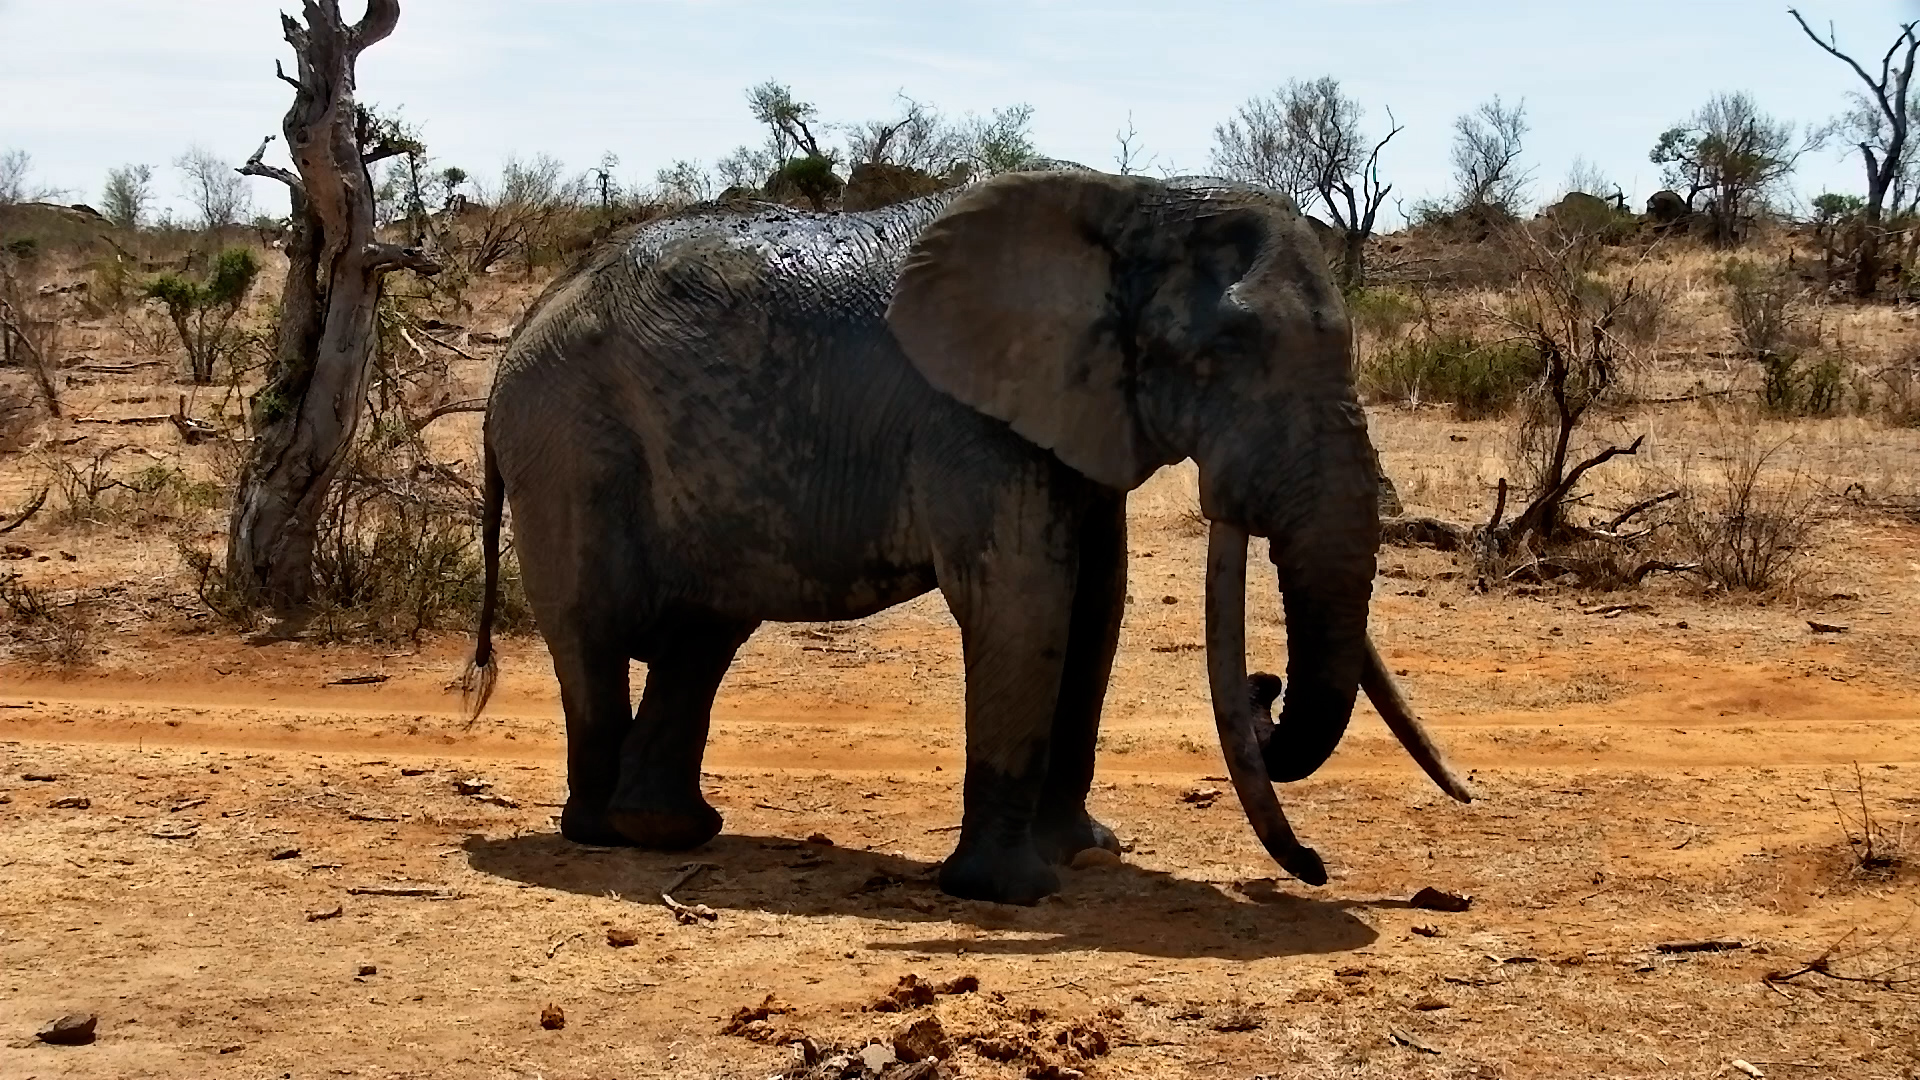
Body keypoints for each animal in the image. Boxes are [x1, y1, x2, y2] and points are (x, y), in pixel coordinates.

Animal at [466, 169, 1471, 905]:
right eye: (1219, 357)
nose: (1314, 872)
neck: (1135, 202)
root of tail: (520, 331)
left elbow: (1097, 604)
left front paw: (1087, 856)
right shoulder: (969, 419)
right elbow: (1026, 601)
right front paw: (1010, 894)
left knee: (702, 636)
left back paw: (669, 832)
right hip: (569, 447)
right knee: (596, 632)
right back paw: (601, 833)